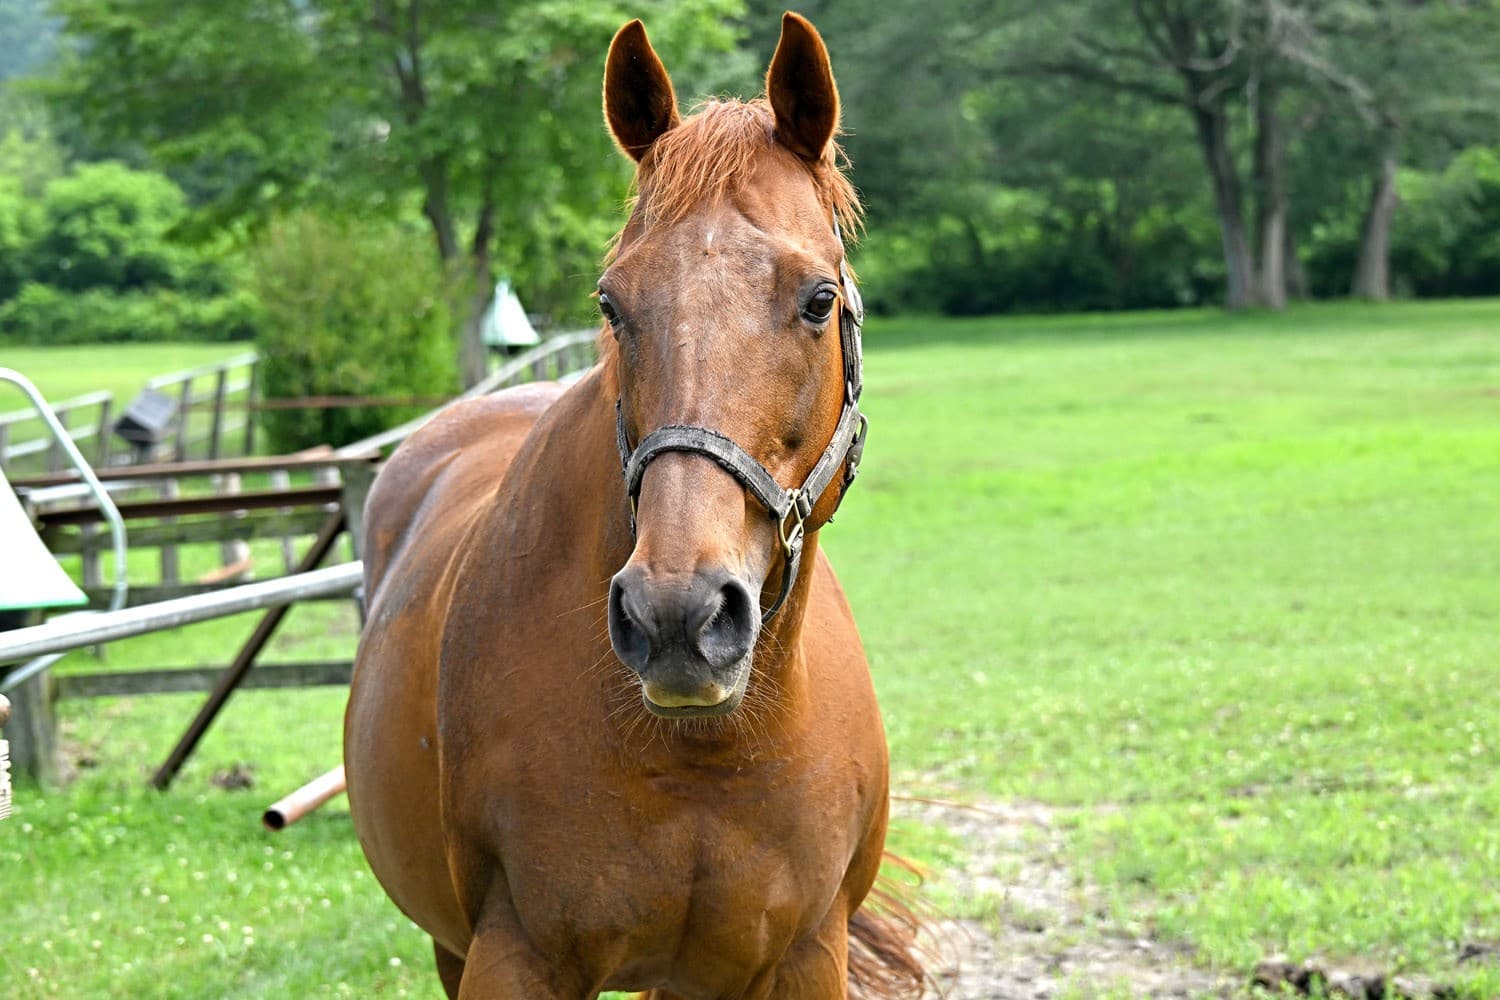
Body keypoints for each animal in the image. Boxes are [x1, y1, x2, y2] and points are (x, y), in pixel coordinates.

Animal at [344, 13, 925, 998]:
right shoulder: (513, 956)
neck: (703, 753)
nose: (676, 616)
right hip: (451, 946)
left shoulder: (806, 955)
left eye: (818, 300)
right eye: (612, 304)